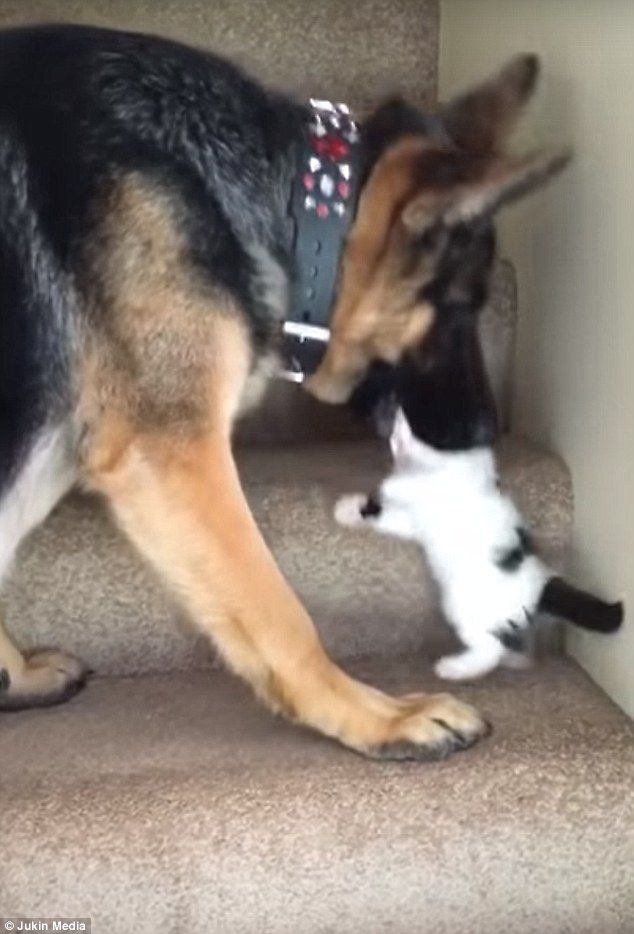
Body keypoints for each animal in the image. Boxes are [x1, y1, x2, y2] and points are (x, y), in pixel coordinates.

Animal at [0, 23, 564, 760]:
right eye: (458, 309)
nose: (484, 430)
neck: (293, 198)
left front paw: (14, 677)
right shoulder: (171, 456)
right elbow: (279, 613)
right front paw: (378, 715)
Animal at [334, 410, 620, 680]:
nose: (393, 423)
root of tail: (540, 584)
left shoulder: (415, 516)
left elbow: (383, 515)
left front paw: (347, 510)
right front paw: (354, 503)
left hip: (462, 606)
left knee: (490, 649)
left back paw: (455, 669)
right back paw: (516, 660)